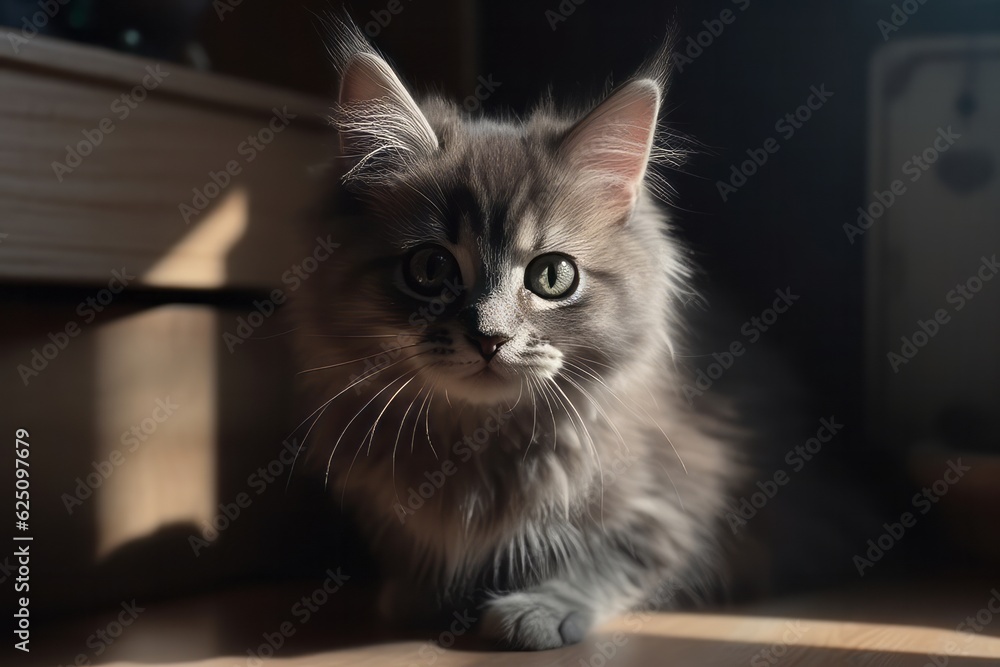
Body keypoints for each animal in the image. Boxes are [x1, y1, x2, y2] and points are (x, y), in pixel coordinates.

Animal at [292, 20, 740, 652]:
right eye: (430, 268)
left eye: (552, 276)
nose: (490, 337)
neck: (476, 445)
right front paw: (419, 593)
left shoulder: (681, 496)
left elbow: (609, 555)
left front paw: (539, 608)